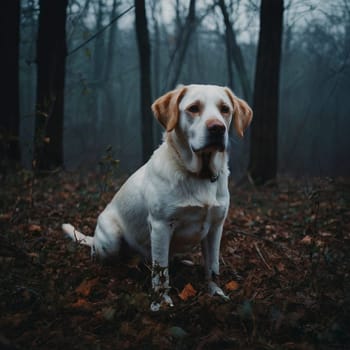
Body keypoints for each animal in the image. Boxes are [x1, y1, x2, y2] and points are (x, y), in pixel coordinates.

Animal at [62, 85, 252, 312]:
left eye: (225, 109)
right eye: (193, 108)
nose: (217, 128)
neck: (200, 175)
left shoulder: (216, 226)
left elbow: (212, 266)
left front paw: (215, 293)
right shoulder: (161, 225)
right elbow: (161, 273)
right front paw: (161, 302)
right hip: (111, 240)